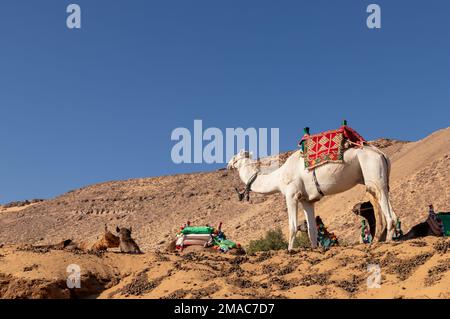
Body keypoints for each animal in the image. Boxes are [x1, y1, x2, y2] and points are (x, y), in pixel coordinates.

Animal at [229, 146, 398, 251]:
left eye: (235, 157)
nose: (229, 164)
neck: (278, 178)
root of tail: (382, 154)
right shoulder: (307, 200)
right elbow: (311, 230)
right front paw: (315, 249)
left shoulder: (291, 195)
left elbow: (292, 226)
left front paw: (290, 250)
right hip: (380, 178)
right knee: (389, 206)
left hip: (373, 172)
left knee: (384, 206)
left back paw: (386, 240)